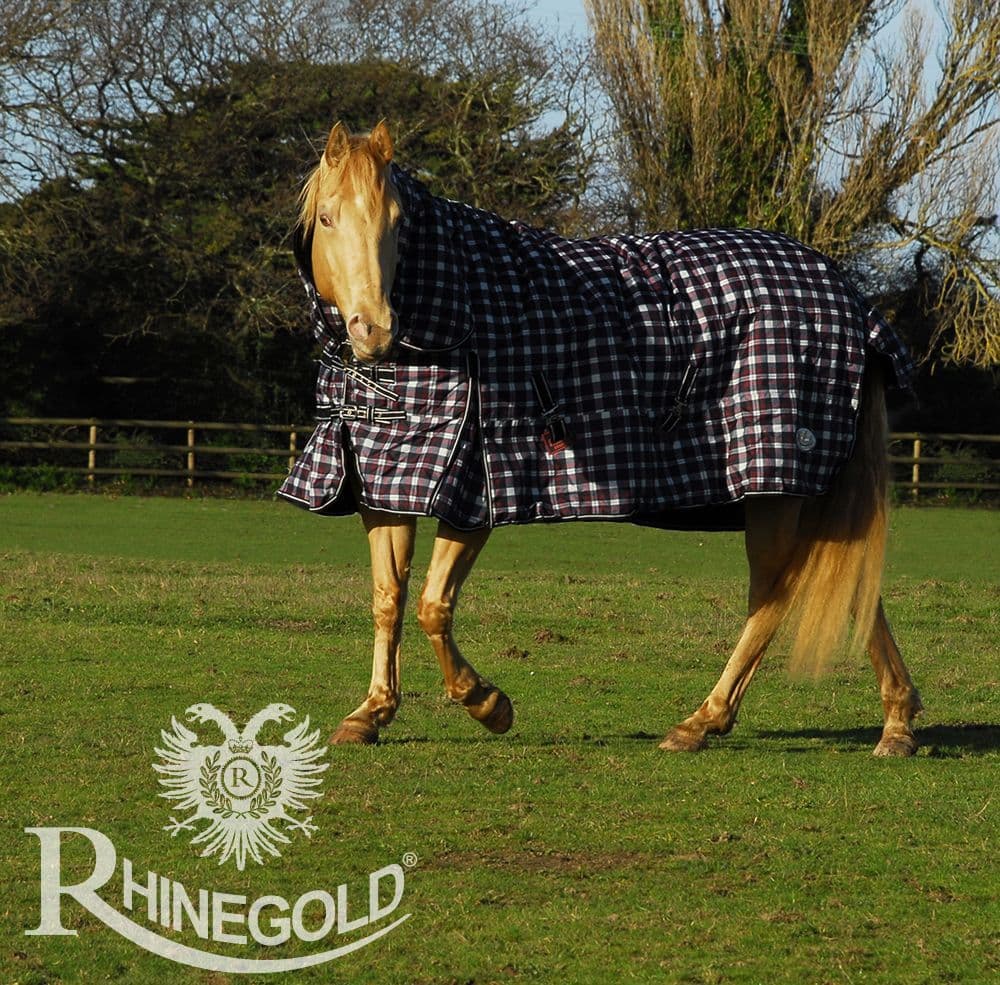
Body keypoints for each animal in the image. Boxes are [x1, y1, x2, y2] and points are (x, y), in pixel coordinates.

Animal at [280, 120, 923, 756]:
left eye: (398, 222)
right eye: (328, 218)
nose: (374, 330)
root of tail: (848, 299)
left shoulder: (475, 486)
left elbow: (433, 607)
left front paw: (489, 704)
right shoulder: (384, 479)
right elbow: (388, 599)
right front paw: (371, 713)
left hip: (775, 492)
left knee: (776, 596)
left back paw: (701, 722)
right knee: (849, 588)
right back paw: (898, 723)